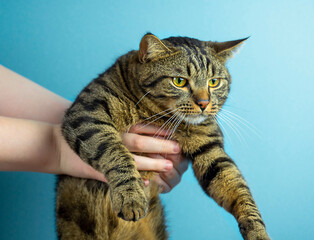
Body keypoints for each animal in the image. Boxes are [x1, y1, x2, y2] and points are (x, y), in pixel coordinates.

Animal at [56, 32, 270, 239]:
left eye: (214, 82)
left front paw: (258, 231)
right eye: (179, 81)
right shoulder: (86, 113)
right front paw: (131, 196)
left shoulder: (211, 151)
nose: (204, 103)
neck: (160, 117)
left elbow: (238, 189)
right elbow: (115, 152)